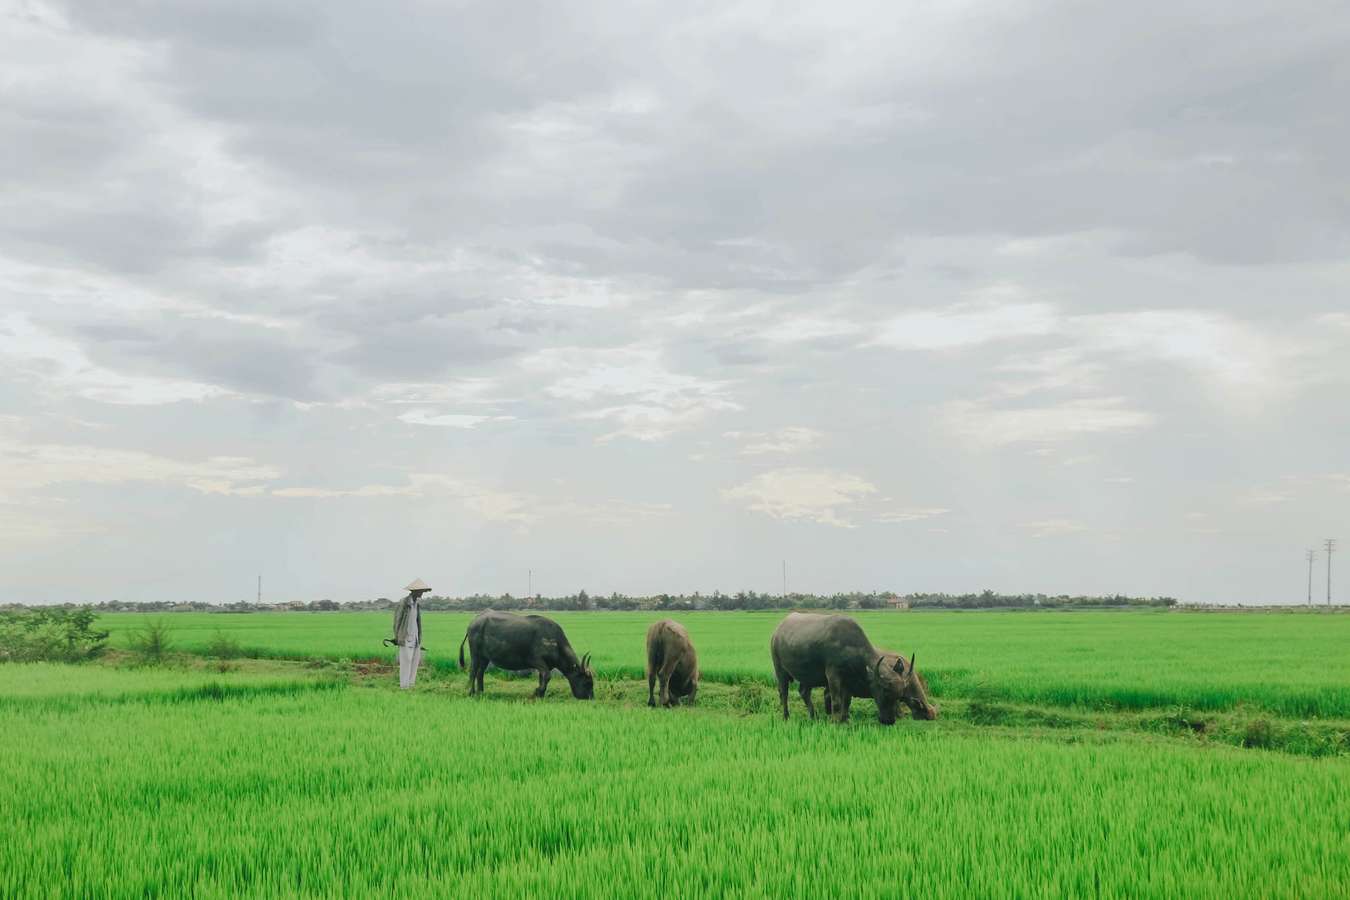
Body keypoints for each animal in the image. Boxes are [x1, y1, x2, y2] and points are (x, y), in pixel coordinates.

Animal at [459, 609, 596, 701]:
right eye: (587, 682)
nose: (591, 697)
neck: (556, 644)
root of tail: (475, 621)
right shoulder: (536, 661)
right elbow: (547, 676)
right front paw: (536, 693)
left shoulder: (545, 665)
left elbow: (543, 678)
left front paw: (541, 695)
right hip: (475, 654)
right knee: (473, 671)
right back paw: (470, 692)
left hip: (485, 657)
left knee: (480, 672)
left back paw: (481, 692)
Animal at [772, 609, 939, 728]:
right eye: (885, 693)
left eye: (899, 697)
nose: (889, 721)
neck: (850, 647)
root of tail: (777, 631)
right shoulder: (833, 675)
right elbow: (837, 701)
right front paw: (835, 721)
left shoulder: (848, 681)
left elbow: (846, 701)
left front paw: (845, 719)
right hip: (779, 669)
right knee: (784, 693)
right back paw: (786, 717)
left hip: (808, 676)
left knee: (804, 692)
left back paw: (814, 716)